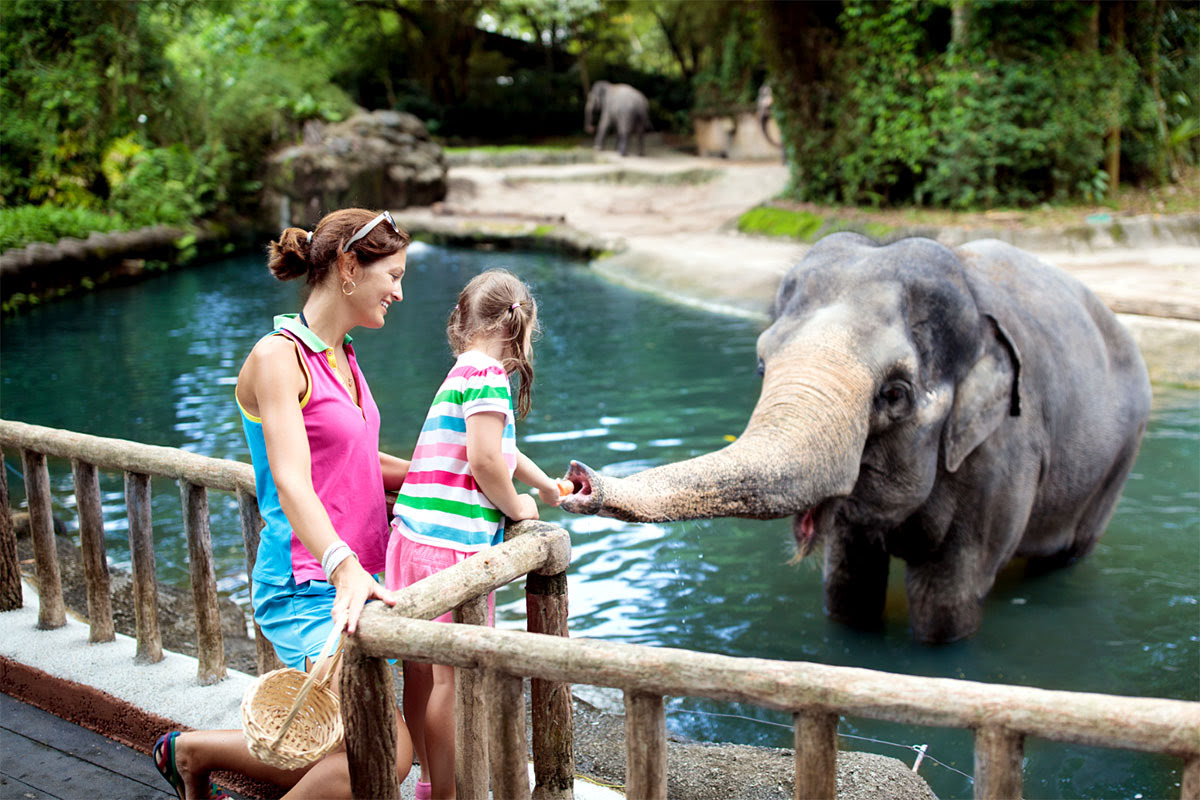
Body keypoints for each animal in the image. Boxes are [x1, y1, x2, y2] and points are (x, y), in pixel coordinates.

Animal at [561, 232, 1152, 642]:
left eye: (895, 393)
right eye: (761, 364)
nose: (578, 479)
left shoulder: (1002, 455)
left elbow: (946, 601)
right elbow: (847, 586)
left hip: (1119, 458)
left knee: (1069, 553)